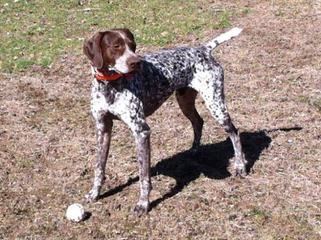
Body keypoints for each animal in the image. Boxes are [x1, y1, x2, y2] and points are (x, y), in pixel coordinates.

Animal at [82, 27, 245, 216]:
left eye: (133, 45)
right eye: (116, 46)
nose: (136, 63)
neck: (110, 85)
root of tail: (204, 49)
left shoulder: (141, 131)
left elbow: (144, 176)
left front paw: (143, 204)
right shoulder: (103, 128)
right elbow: (99, 167)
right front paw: (95, 193)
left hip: (215, 104)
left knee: (234, 132)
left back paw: (240, 166)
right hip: (185, 101)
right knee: (198, 122)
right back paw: (194, 149)